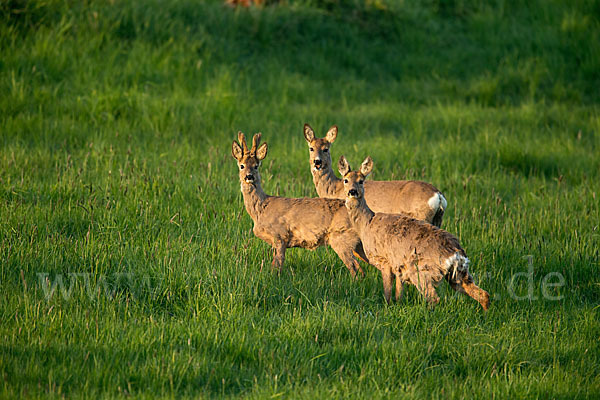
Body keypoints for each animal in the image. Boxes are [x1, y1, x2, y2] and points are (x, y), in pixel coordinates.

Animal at [232, 131, 368, 278]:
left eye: (256, 166)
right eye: (241, 165)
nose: (249, 176)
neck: (261, 209)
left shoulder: (280, 235)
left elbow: (277, 265)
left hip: (341, 238)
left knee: (356, 269)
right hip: (358, 244)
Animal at [302, 123, 448, 227]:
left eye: (326, 149)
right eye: (311, 148)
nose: (317, 162)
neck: (334, 189)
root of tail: (438, 195)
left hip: (421, 216)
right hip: (437, 219)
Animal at [340, 155, 490, 310]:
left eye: (361, 180)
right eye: (345, 180)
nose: (352, 191)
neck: (366, 223)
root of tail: (456, 253)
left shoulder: (384, 260)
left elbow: (388, 294)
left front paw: (387, 308)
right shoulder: (399, 267)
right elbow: (398, 294)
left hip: (421, 272)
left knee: (434, 298)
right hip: (458, 273)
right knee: (483, 294)